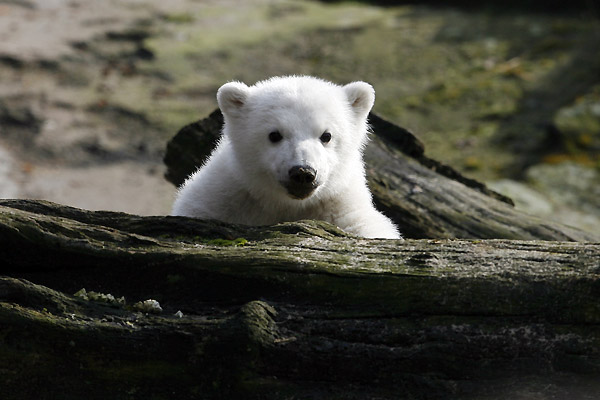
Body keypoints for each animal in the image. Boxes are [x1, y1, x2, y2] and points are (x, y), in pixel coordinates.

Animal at [171, 75, 400, 239]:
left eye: (326, 135)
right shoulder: (222, 198)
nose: (303, 173)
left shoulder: (340, 208)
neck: (286, 205)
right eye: (274, 135)